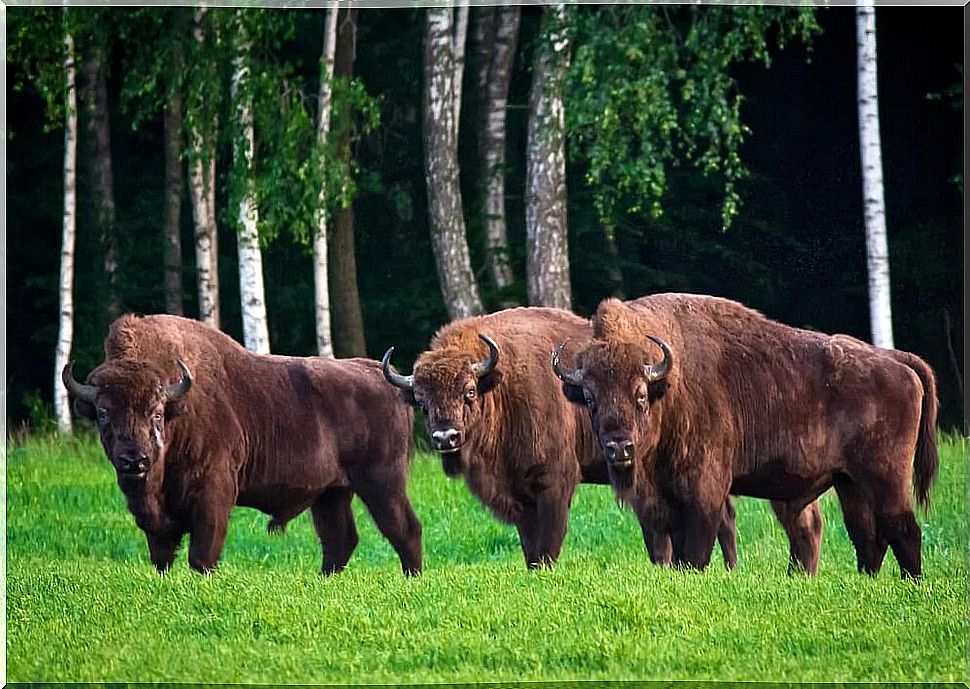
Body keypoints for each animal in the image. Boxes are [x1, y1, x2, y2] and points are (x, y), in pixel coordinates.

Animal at [61, 314, 420, 572]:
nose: (134, 460)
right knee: (340, 539)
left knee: (405, 529)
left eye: (157, 413)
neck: (181, 408)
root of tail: (386, 380)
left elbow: (202, 555)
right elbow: (162, 556)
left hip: (381, 481)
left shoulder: (215, 493)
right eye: (103, 413)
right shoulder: (155, 517)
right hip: (331, 493)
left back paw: (411, 578)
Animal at [552, 292, 936, 576]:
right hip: (849, 482)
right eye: (590, 398)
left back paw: (911, 583)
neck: (671, 386)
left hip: (885, 477)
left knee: (904, 529)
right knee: (867, 536)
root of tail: (897, 360)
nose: (619, 447)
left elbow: (695, 553)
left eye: (641, 395)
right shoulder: (662, 499)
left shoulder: (705, 492)